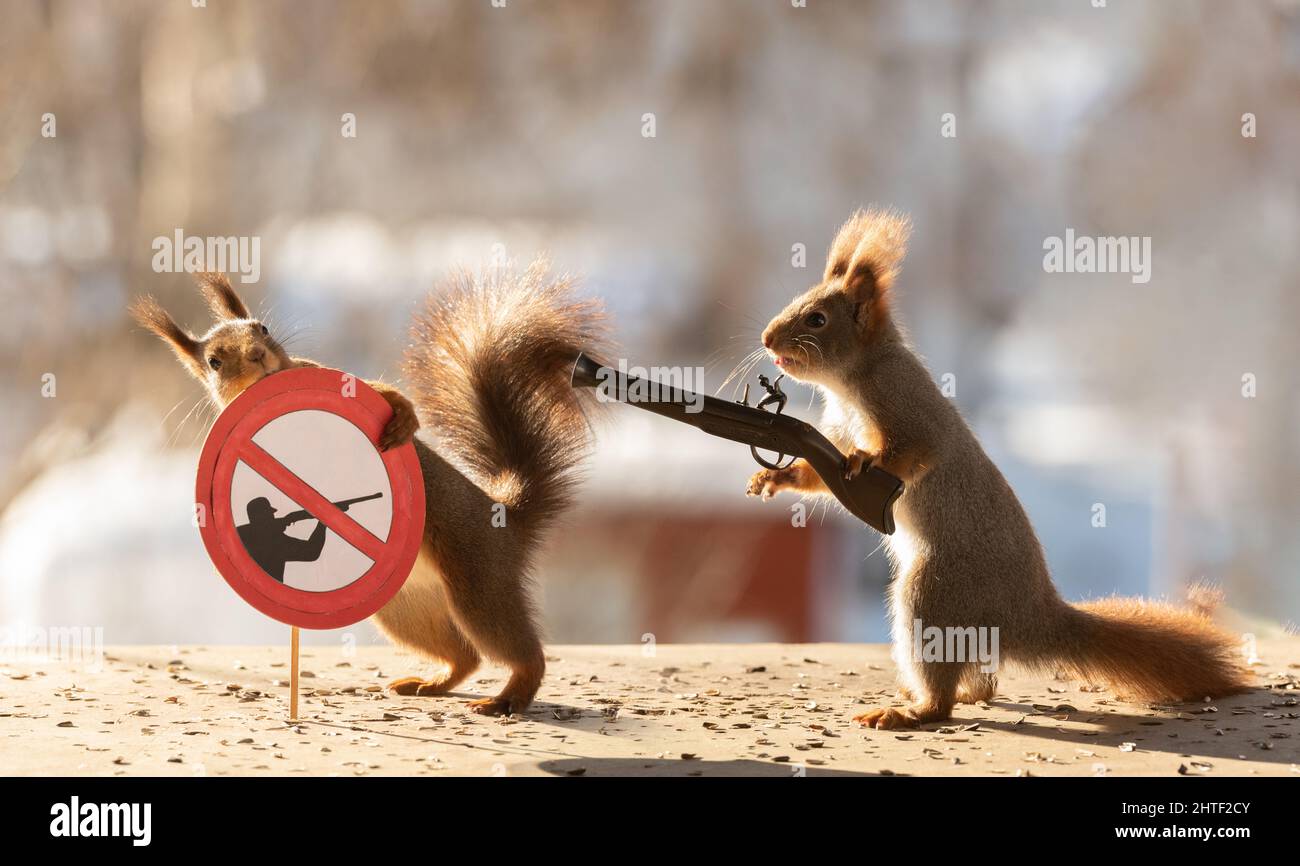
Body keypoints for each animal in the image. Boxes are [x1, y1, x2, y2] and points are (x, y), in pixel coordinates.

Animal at [129, 266, 605, 712]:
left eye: (262, 328)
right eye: (214, 361)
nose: (259, 355)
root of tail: (504, 515)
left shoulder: (320, 374)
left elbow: (375, 393)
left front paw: (402, 416)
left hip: (478, 580)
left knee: (520, 652)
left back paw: (508, 696)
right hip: (406, 611)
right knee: (465, 656)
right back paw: (430, 683)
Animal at [748, 209, 1242, 728]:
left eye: (817, 319)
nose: (766, 338)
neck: (849, 384)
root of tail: (1029, 618)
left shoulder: (906, 406)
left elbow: (917, 451)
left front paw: (865, 461)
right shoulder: (835, 434)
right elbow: (817, 476)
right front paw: (774, 477)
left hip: (934, 595)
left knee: (942, 695)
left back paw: (912, 710)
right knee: (984, 684)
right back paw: (955, 695)